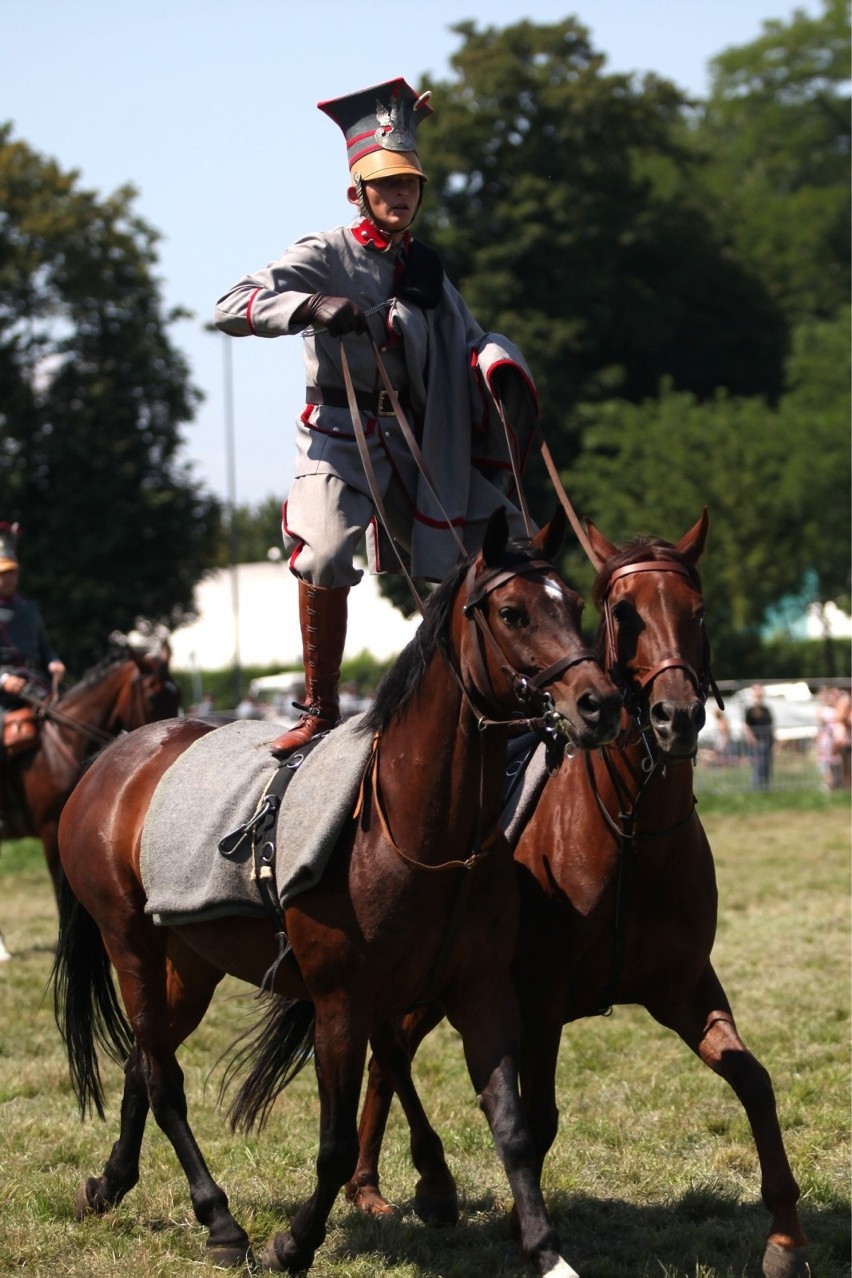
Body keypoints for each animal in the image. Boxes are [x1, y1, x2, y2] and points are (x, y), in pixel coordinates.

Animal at [53, 511, 623, 1278]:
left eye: (577, 605)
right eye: (513, 612)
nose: (599, 703)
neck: (419, 829)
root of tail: (110, 759)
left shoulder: (479, 991)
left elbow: (510, 1126)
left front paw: (545, 1250)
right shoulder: (340, 1007)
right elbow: (335, 1141)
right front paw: (294, 1242)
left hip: (189, 962)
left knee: (147, 1061)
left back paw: (112, 1182)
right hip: (131, 946)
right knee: (163, 1076)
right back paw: (219, 1218)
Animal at [342, 513, 812, 1278]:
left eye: (698, 612)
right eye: (622, 614)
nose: (675, 717)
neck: (633, 830)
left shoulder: (685, 986)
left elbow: (755, 1081)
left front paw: (785, 1237)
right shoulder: (539, 1000)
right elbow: (538, 1117)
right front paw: (523, 1226)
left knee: (392, 1056)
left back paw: (370, 1186)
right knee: (389, 1054)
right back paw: (396, 1186)